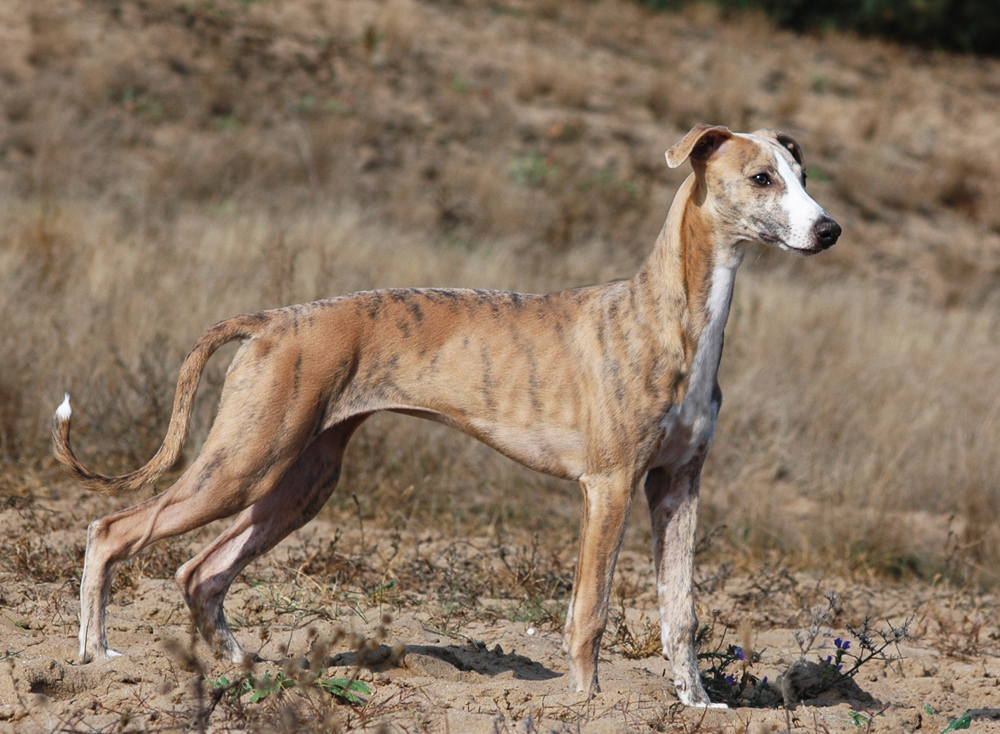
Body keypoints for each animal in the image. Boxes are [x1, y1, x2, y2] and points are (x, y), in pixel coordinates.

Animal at [52, 125, 836, 708]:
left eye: (802, 174)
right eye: (762, 179)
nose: (829, 229)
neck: (673, 315)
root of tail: (274, 320)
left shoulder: (677, 486)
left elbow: (681, 613)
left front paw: (698, 705)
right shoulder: (609, 486)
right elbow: (589, 612)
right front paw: (586, 705)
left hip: (299, 482)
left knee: (201, 570)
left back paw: (241, 671)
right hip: (246, 462)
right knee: (113, 529)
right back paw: (97, 656)